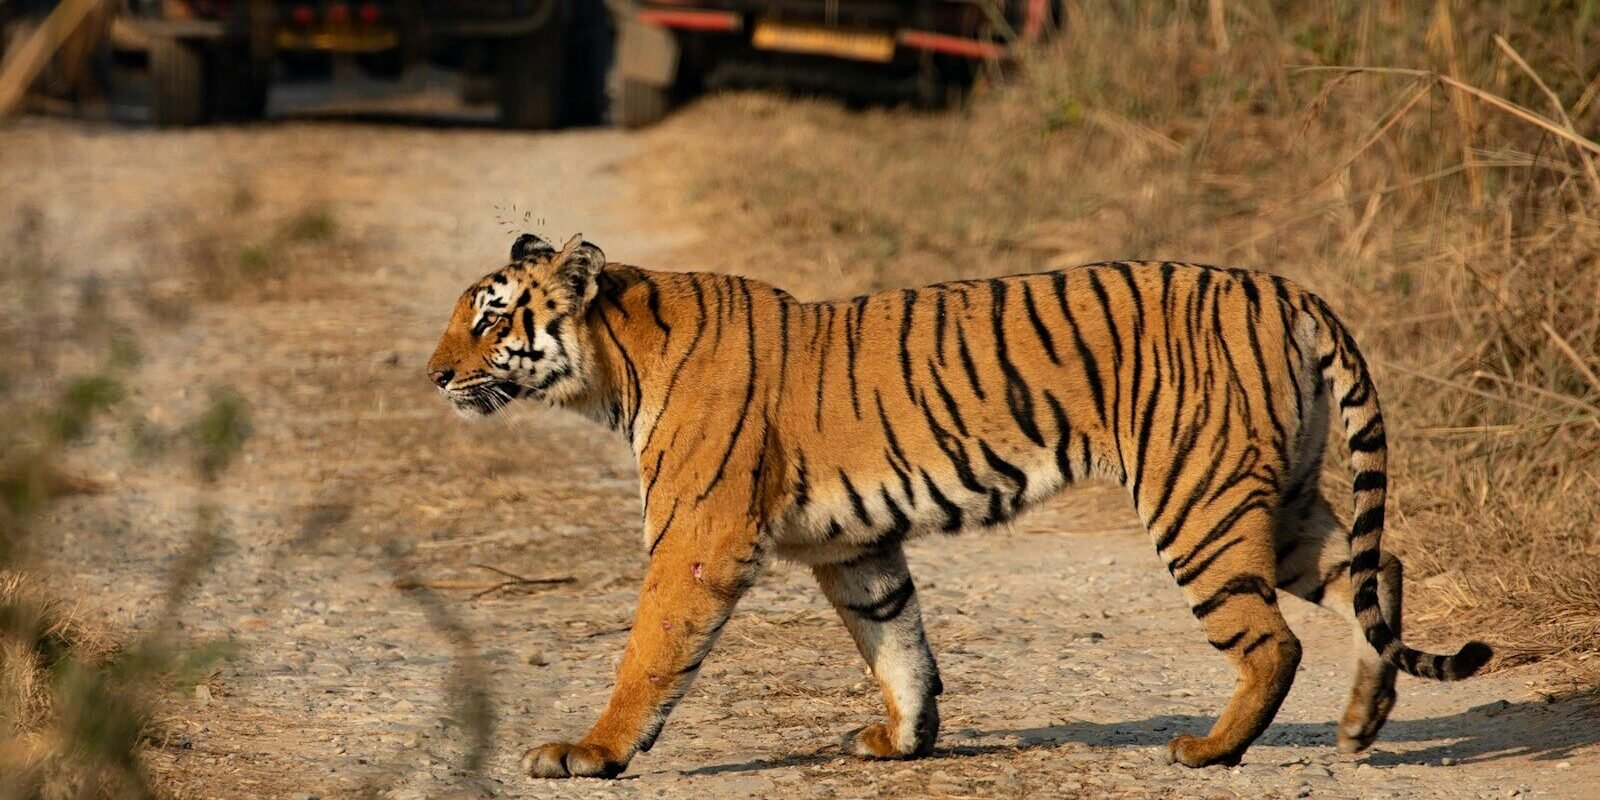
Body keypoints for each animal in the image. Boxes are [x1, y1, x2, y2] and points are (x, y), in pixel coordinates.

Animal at [425, 232, 1492, 778]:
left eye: (489, 319)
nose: (434, 375)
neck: (614, 365)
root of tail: (1284, 288)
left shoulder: (701, 537)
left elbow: (650, 654)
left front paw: (591, 753)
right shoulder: (853, 546)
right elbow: (896, 641)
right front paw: (902, 741)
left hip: (1200, 501)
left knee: (1273, 639)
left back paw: (1209, 749)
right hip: (1275, 503)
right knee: (1380, 571)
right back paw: (1360, 724)